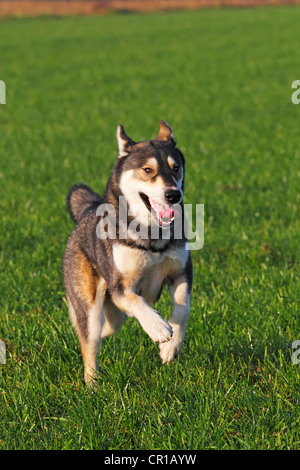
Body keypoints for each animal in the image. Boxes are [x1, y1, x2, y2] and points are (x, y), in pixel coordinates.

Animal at [62, 121, 193, 386]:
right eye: (148, 169)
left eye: (175, 168)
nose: (173, 194)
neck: (152, 236)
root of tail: (88, 210)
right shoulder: (121, 286)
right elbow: (137, 300)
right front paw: (158, 327)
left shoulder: (182, 272)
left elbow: (183, 309)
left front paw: (171, 347)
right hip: (90, 305)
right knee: (89, 342)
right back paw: (92, 385)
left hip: (114, 316)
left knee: (105, 330)